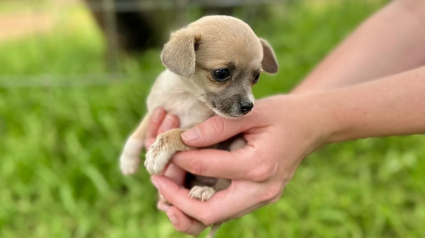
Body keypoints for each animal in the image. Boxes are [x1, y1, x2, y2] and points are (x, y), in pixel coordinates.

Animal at [119, 15, 278, 237]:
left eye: (256, 77)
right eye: (221, 73)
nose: (249, 106)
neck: (185, 95)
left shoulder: (202, 136)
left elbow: (175, 133)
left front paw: (156, 154)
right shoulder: (155, 109)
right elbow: (138, 131)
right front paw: (127, 160)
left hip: (236, 145)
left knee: (223, 183)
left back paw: (205, 189)